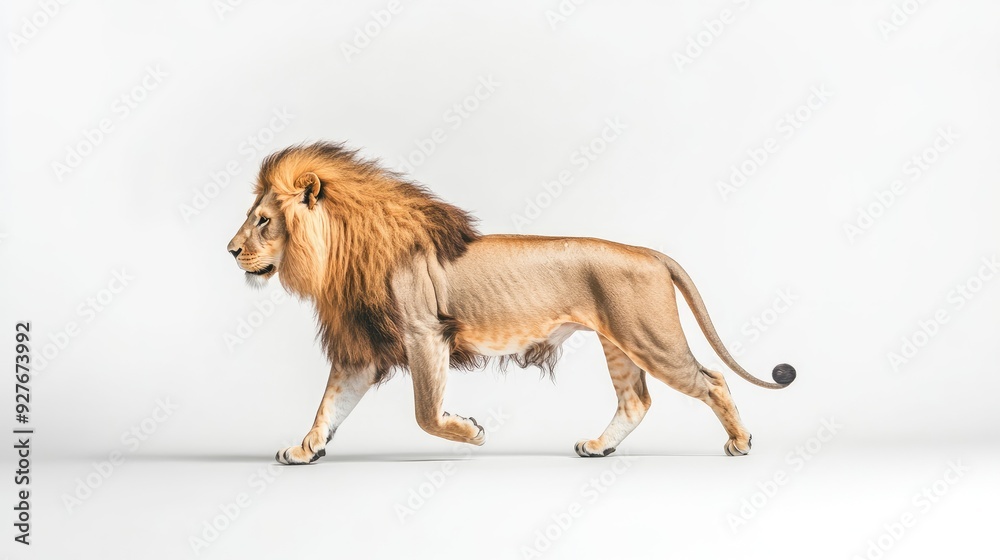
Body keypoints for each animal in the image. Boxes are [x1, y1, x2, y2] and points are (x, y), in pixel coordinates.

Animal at [226, 141, 796, 464]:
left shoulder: (425, 332)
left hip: (650, 337)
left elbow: (425, 412)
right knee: (636, 400)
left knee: (713, 382)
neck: (340, 254)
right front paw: (304, 450)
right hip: (619, 343)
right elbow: (328, 406)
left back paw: (741, 444)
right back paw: (598, 447)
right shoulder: (362, 351)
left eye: (262, 221)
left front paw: (471, 433)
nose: (230, 250)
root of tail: (651, 254)